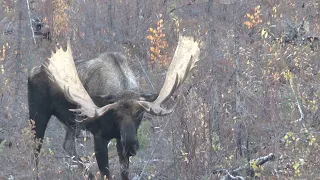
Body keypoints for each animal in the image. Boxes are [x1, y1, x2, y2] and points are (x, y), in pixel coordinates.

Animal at [29, 35, 200, 179]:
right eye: (115, 114)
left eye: (139, 113)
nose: (131, 145)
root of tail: (32, 71)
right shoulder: (99, 137)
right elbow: (106, 174)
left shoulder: (119, 140)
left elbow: (124, 173)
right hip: (37, 115)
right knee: (36, 151)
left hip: (72, 124)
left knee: (68, 145)